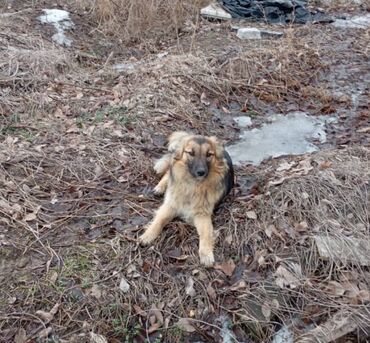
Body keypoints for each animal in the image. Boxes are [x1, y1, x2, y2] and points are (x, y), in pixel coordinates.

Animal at [139, 131, 234, 266]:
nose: (201, 172)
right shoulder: (171, 205)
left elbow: (206, 233)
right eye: (191, 153)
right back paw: (160, 187)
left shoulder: (202, 215)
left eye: (209, 154)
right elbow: (159, 221)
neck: (192, 186)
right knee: (168, 173)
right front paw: (148, 235)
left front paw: (206, 253)